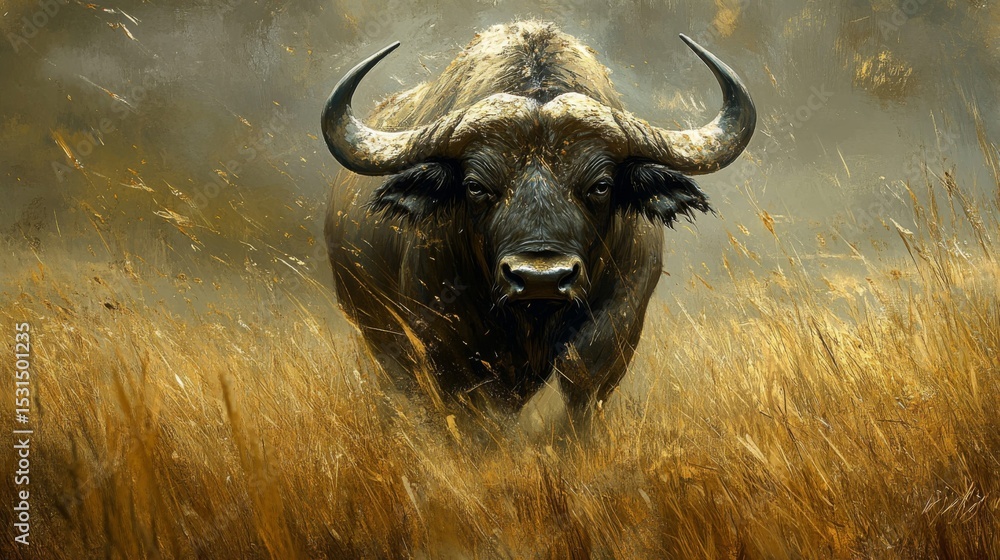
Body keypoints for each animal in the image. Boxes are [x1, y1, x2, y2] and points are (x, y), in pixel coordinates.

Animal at [321, 21, 755, 422]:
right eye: (476, 186)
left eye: (601, 185)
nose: (540, 279)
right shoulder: (438, 337)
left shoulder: (621, 319)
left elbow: (582, 381)